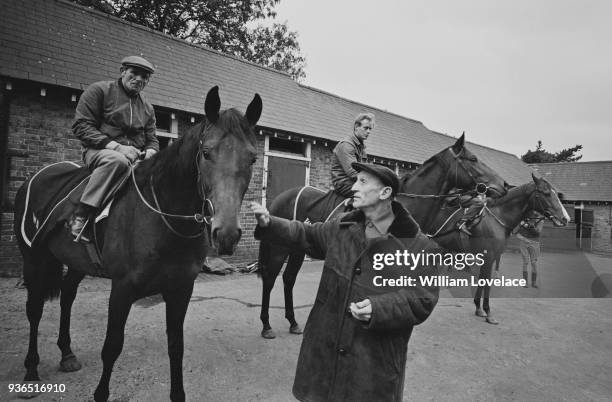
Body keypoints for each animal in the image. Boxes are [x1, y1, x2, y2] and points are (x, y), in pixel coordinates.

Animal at [12, 86, 260, 400]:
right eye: (206, 153)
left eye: (252, 158)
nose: (226, 234)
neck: (163, 217)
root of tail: (36, 177)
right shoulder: (122, 290)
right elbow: (111, 348)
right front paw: (100, 393)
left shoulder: (180, 290)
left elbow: (175, 347)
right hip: (33, 259)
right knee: (34, 309)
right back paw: (31, 372)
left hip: (75, 263)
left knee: (67, 297)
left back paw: (66, 355)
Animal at [420, 174, 568, 326]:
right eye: (546, 193)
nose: (565, 218)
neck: (497, 218)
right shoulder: (489, 256)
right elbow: (486, 282)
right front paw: (488, 312)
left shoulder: (490, 257)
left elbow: (482, 280)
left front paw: (479, 309)